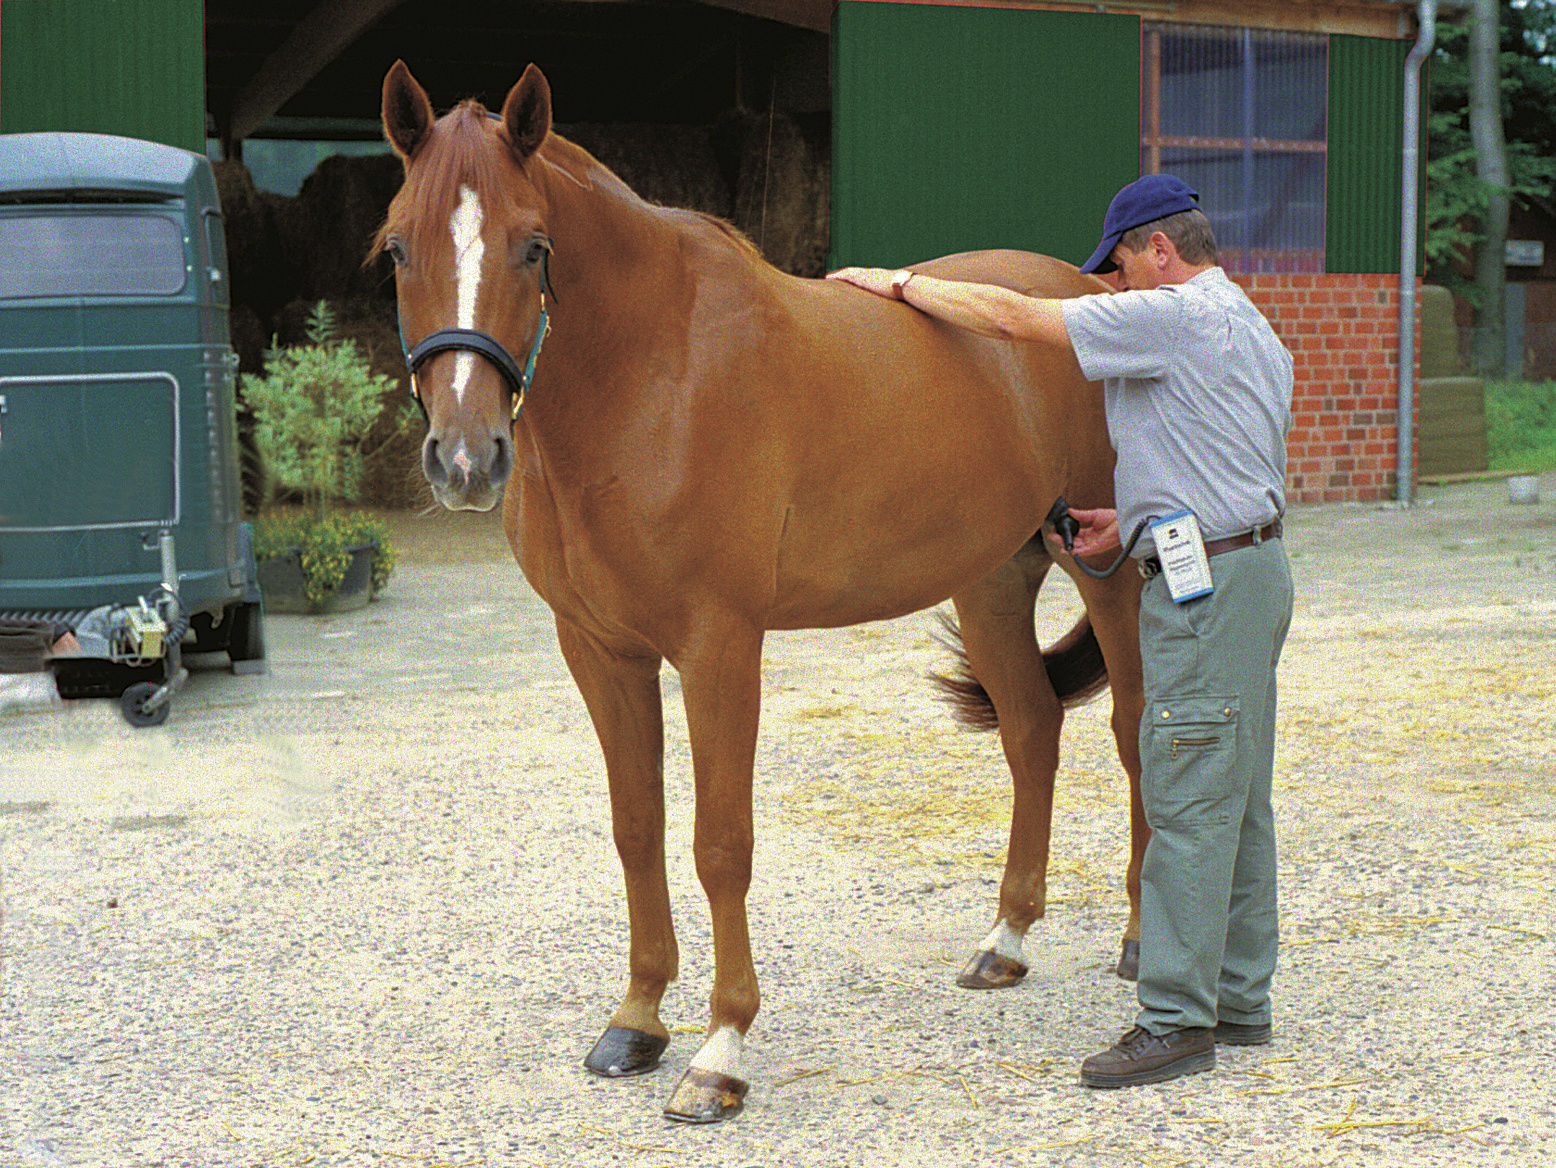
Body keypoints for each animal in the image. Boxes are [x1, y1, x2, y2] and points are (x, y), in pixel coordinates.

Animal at [377, 59, 1147, 1123]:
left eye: (534, 247)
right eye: (396, 250)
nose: (463, 459)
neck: (650, 372)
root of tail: (1083, 295)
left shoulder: (718, 645)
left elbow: (720, 842)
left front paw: (721, 1051)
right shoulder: (599, 648)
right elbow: (637, 828)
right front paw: (635, 1022)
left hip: (1106, 569)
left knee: (1137, 731)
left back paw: (1142, 944)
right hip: (992, 579)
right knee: (1032, 730)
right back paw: (1004, 943)